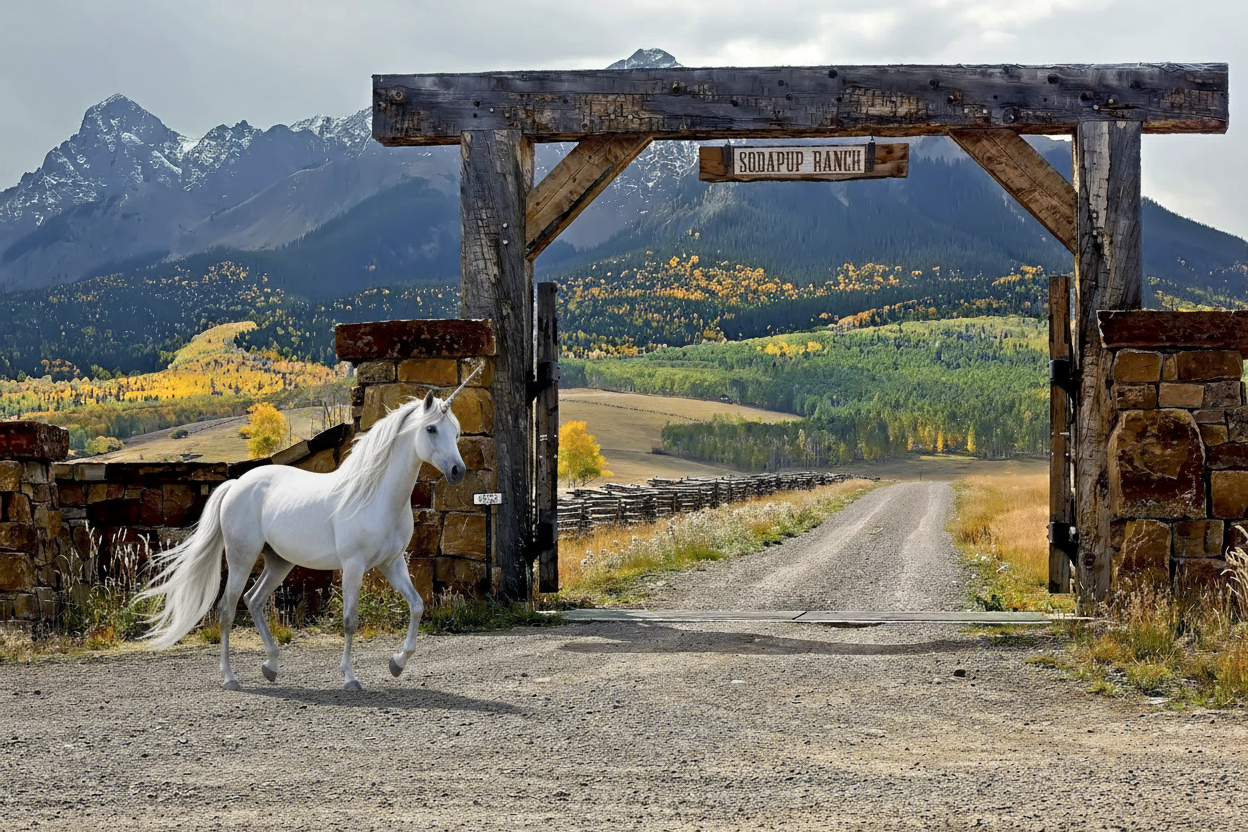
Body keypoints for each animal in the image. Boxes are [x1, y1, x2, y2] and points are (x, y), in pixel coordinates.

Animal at [137, 367, 480, 691]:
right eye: (431, 428)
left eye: (456, 432)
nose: (457, 471)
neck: (375, 494)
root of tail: (236, 484)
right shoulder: (353, 566)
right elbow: (350, 621)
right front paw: (350, 678)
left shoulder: (391, 563)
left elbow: (417, 606)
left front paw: (397, 664)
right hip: (241, 558)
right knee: (228, 608)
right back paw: (230, 677)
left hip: (279, 561)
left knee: (253, 600)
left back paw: (271, 666)